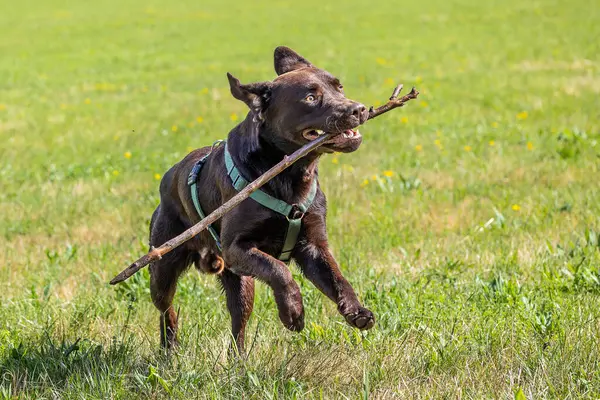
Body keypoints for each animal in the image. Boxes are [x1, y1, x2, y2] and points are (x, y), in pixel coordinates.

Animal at [149, 47, 372, 352]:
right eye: (310, 97)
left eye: (339, 87)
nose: (359, 109)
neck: (290, 174)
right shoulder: (237, 249)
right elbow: (280, 270)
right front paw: (293, 313)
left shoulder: (313, 246)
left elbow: (337, 278)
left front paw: (356, 311)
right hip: (163, 268)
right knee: (166, 308)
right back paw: (169, 347)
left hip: (240, 283)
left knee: (238, 326)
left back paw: (239, 362)